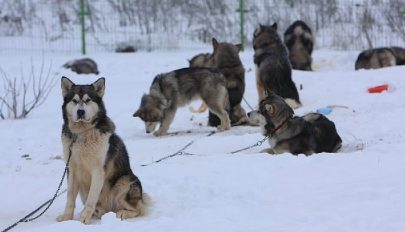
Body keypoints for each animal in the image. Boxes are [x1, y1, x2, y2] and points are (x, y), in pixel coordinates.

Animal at [56, 77, 145, 224]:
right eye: (74, 100)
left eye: (88, 100)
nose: (80, 112)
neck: (83, 133)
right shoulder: (72, 169)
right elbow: (70, 197)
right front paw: (67, 217)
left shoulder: (98, 171)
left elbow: (92, 198)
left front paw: (84, 218)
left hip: (123, 182)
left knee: (138, 209)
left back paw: (122, 213)